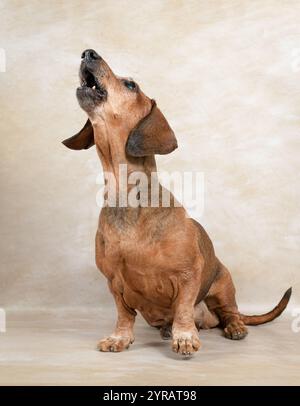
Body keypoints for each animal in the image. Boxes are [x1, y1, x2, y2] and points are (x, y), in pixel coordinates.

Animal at [62, 50, 290, 356]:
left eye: (131, 84)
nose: (88, 53)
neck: (127, 196)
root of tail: (209, 319)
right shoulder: (114, 283)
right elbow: (124, 314)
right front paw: (120, 337)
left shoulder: (187, 276)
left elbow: (182, 307)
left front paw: (183, 336)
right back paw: (167, 329)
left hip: (223, 284)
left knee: (229, 312)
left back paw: (233, 327)